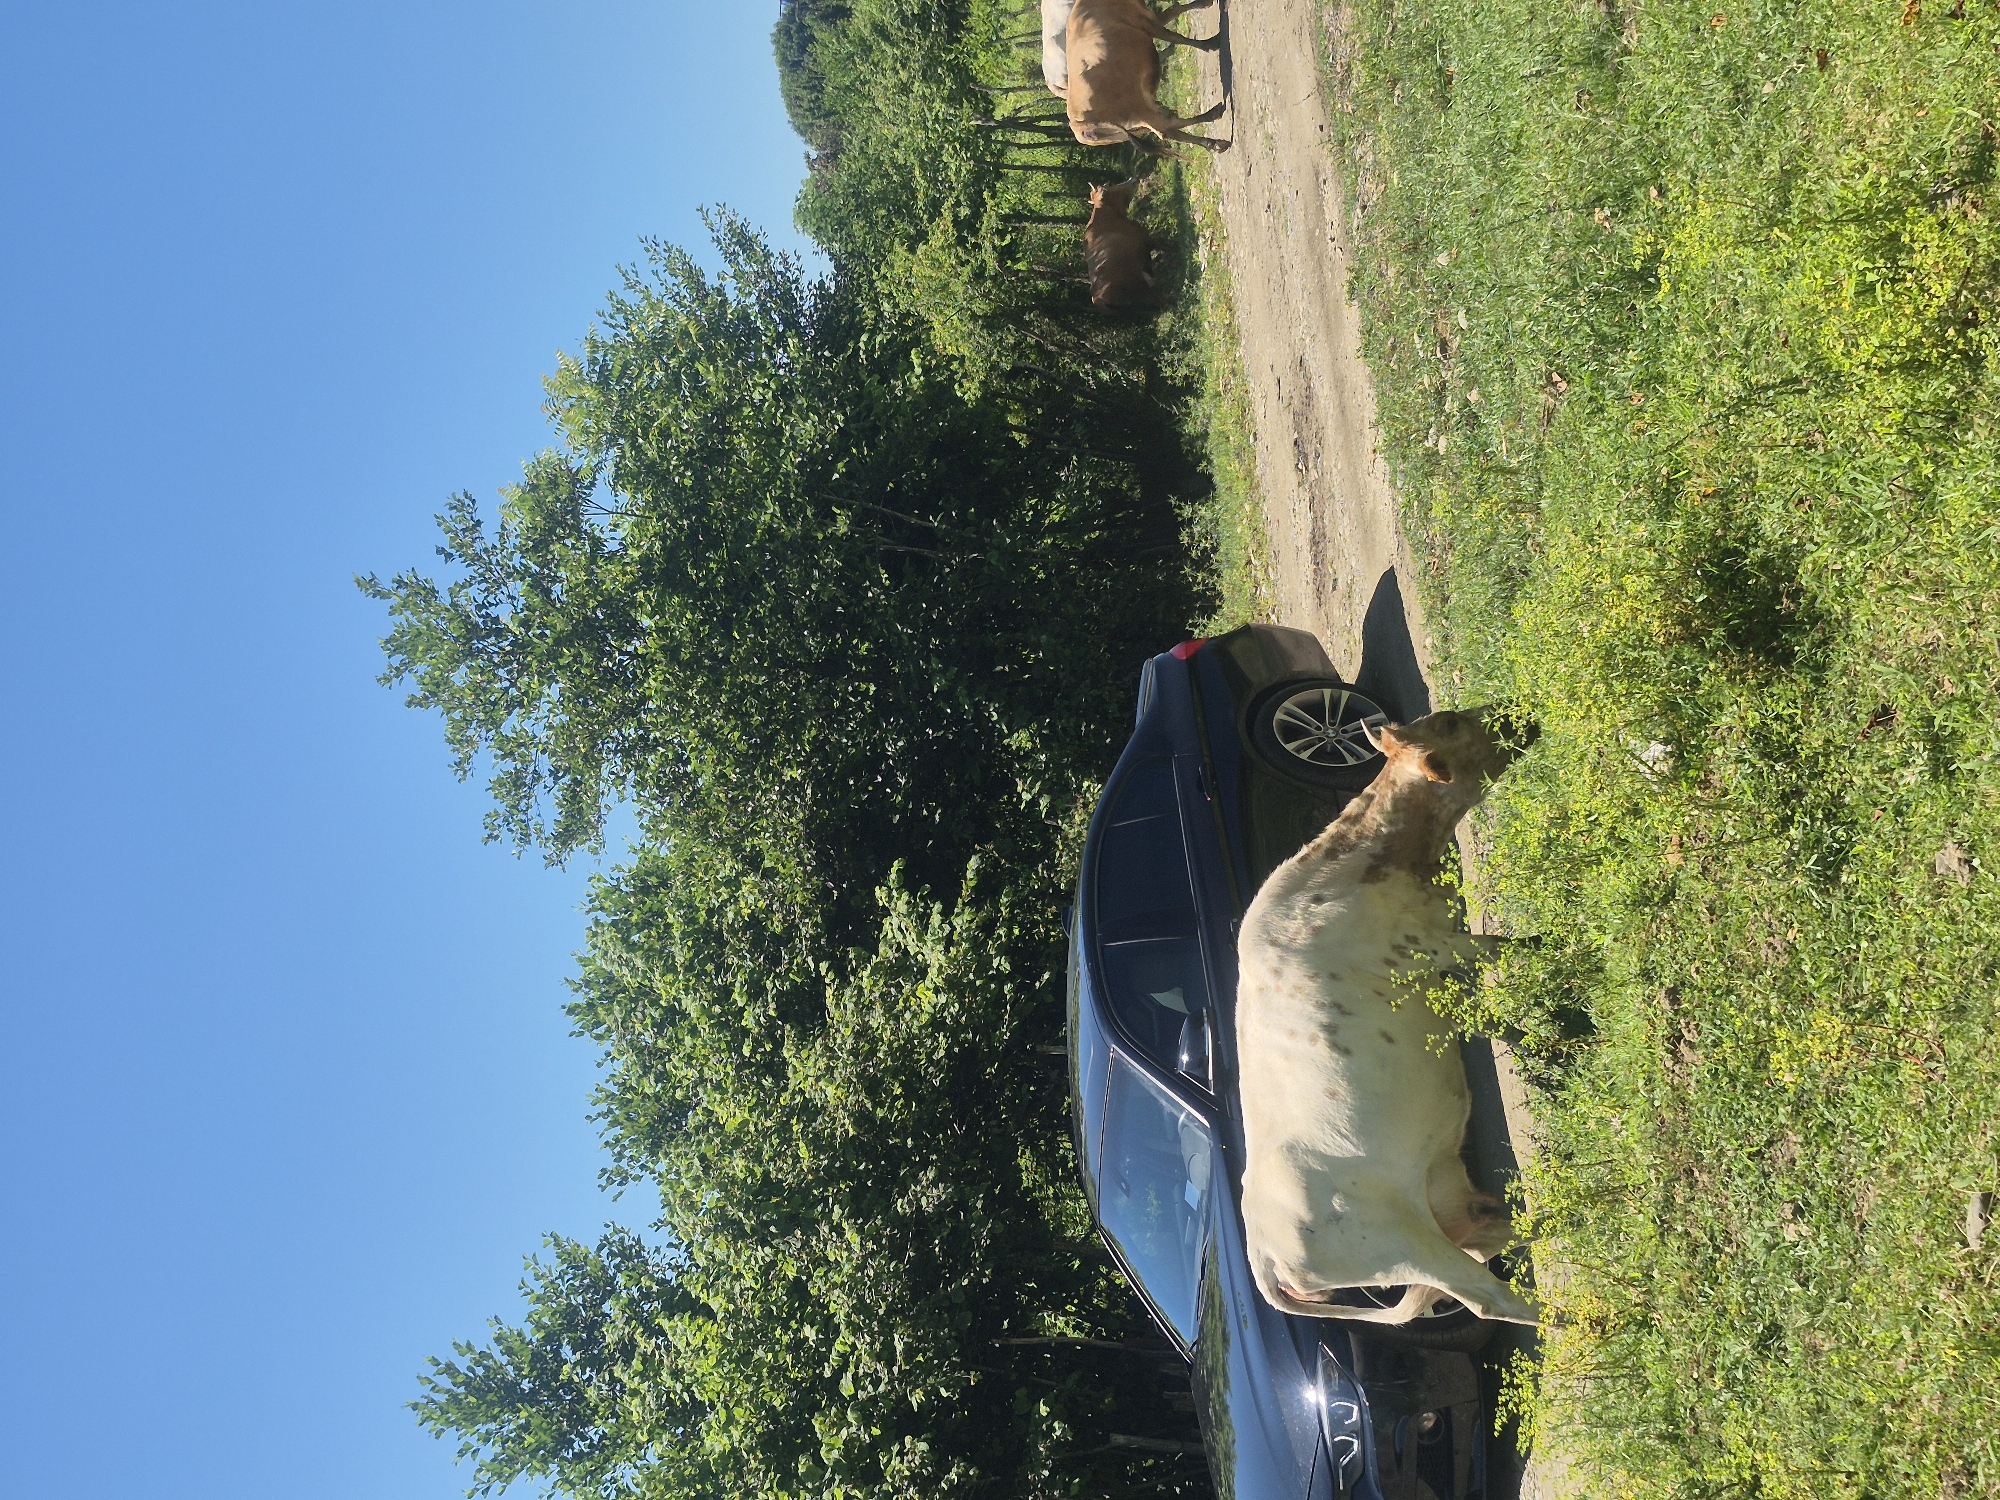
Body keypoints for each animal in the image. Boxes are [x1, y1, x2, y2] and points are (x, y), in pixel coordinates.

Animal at [1066, 0, 1229, 153]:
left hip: (1135, 124)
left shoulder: (1148, 17)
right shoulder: (1146, 22)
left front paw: (1203, 3)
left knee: (1170, 127)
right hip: (1139, 113)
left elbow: (1175, 10)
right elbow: (1177, 36)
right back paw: (1214, 132)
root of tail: (1076, 124)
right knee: (1167, 129)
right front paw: (1209, 44)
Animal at [1235, 707, 1543, 1327]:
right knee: (1485, 1296)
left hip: (1440, 1194)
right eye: (1451, 723)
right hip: (1397, 1244)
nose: (1515, 715)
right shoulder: (1430, 946)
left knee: (1487, 1236)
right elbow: (1514, 948)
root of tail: (1262, 1252)